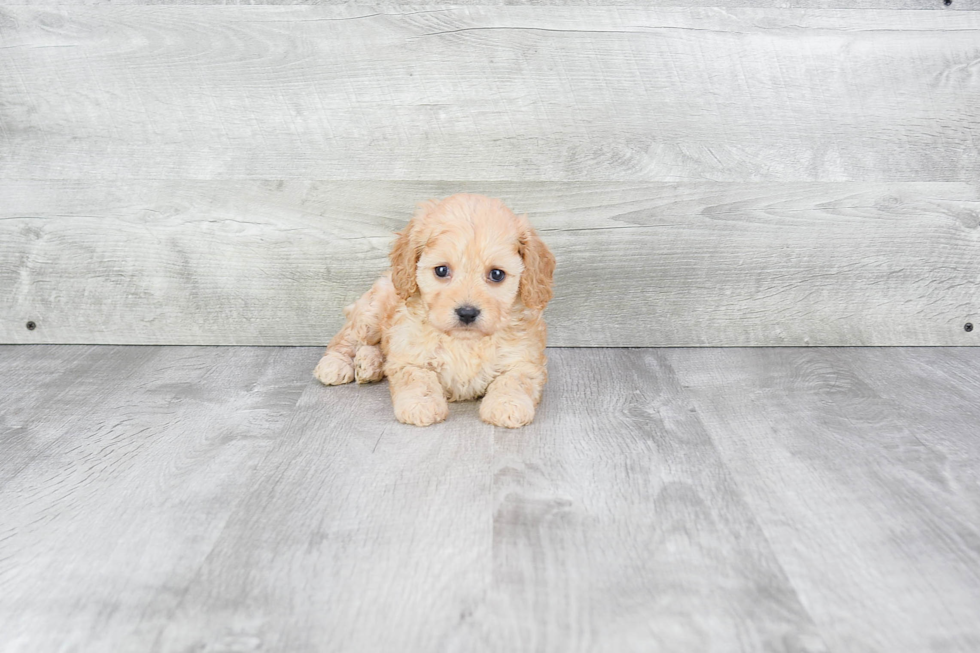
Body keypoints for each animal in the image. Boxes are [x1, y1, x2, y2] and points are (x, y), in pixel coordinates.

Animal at [316, 194, 556, 428]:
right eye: (441, 270)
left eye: (497, 274)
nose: (467, 313)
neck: (465, 342)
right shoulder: (409, 353)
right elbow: (417, 377)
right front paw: (420, 405)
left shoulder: (525, 359)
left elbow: (516, 378)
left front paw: (507, 404)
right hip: (371, 313)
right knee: (347, 338)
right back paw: (336, 364)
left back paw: (368, 364)